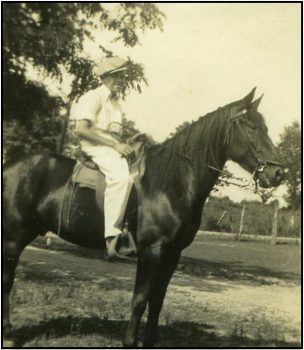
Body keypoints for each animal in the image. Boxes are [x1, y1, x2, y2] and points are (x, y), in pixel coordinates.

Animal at [2, 88, 284, 348]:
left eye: (266, 127)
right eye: (251, 127)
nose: (278, 173)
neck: (171, 182)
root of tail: (10, 166)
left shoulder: (172, 253)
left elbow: (157, 299)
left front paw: (149, 340)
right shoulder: (152, 250)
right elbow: (140, 299)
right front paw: (130, 341)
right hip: (13, 239)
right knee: (7, 279)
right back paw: (9, 334)